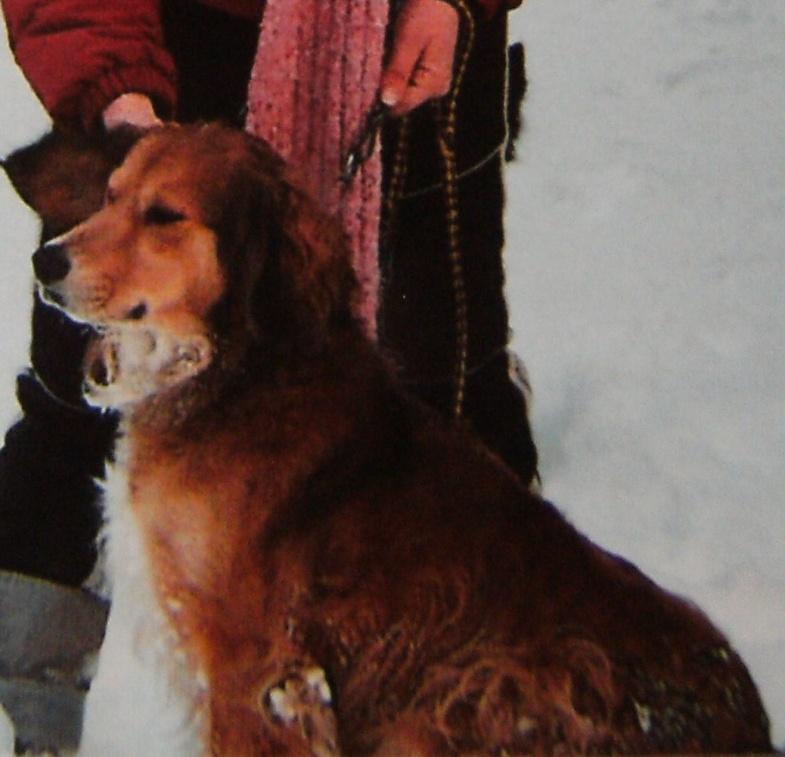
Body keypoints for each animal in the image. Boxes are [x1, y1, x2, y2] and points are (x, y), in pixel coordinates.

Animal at [26, 124, 772, 752]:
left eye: (164, 215)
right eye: (111, 195)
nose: (43, 259)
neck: (242, 369)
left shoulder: (254, 661)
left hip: (479, 687)